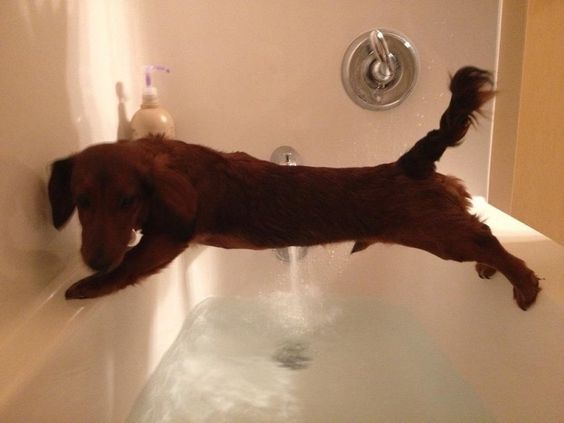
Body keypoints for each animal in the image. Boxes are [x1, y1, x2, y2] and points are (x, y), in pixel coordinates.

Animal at [50, 68, 540, 310]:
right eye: (81, 201)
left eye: (127, 200)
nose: (94, 260)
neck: (172, 161)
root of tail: (409, 163)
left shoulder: (168, 238)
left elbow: (129, 265)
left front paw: (90, 284)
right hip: (443, 216)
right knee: (479, 226)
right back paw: (490, 269)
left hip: (437, 234)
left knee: (486, 238)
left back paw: (523, 281)